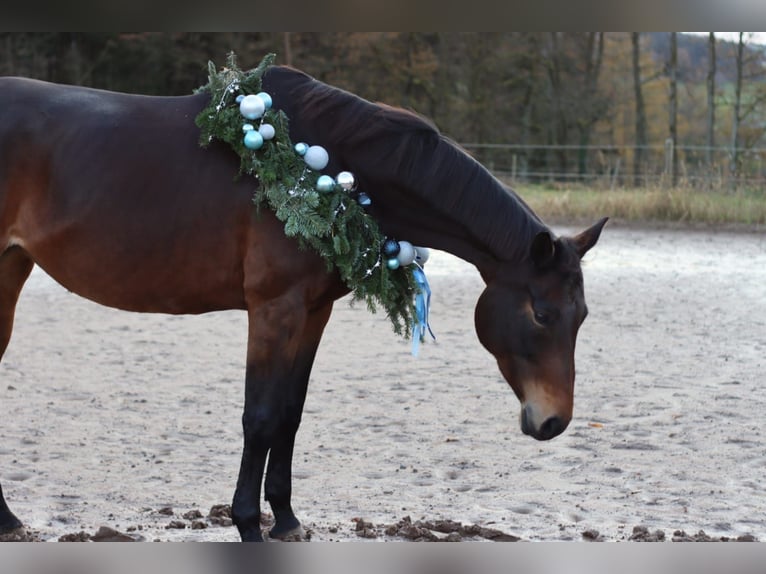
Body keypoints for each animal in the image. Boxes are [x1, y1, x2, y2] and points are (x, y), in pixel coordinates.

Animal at [0, 65, 608, 544]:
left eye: (581, 318)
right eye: (542, 314)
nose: (554, 421)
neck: (330, 170)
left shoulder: (314, 312)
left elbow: (290, 413)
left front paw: (286, 519)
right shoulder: (275, 309)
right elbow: (261, 415)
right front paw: (248, 523)